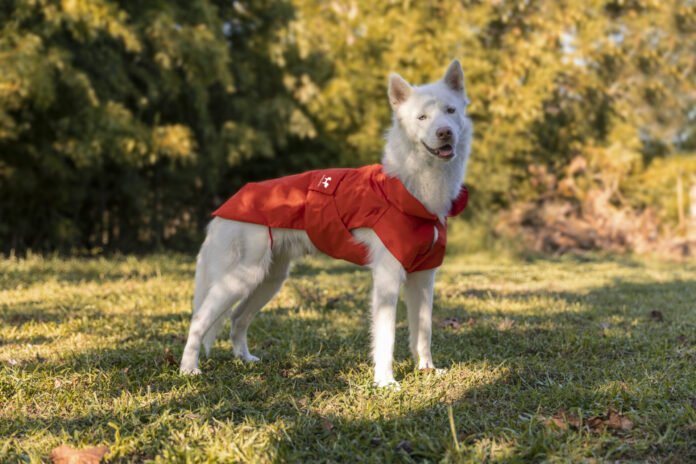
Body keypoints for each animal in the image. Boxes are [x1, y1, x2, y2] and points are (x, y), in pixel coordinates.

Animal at [179, 60, 474, 388]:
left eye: (450, 111)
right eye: (422, 117)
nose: (445, 133)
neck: (409, 188)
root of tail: (227, 206)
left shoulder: (423, 278)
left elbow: (423, 331)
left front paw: (427, 370)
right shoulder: (387, 277)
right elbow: (387, 336)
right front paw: (385, 382)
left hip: (267, 280)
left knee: (236, 319)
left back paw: (244, 359)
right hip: (240, 278)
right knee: (199, 319)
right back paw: (188, 370)